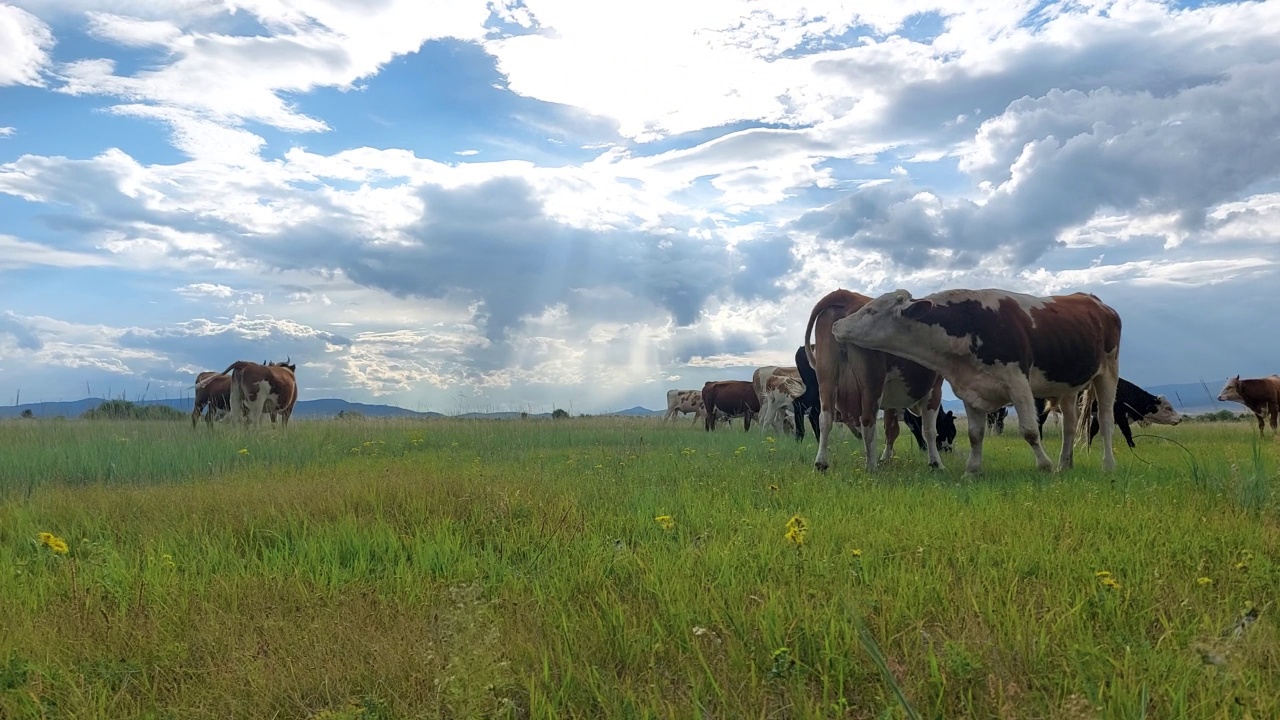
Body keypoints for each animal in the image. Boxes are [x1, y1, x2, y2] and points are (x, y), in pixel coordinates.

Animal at [803, 285, 947, 471]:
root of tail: (846, 295)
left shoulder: (892, 401)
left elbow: (891, 428)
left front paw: (886, 458)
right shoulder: (935, 389)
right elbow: (929, 429)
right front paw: (936, 463)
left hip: (826, 375)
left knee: (825, 419)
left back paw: (821, 463)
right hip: (872, 381)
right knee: (867, 420)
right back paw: (871, 466)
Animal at [829, 288, 1121, 474]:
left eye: (871, 310)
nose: (836, 326)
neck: (971, 325)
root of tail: (1096, 301)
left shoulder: (1019, 384)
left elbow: (1029, 430)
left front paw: (1045, 466)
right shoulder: (970, 389)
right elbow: (975, 434)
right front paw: (972, 470)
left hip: (1108, 372)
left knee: (1106, 420)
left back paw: (1107, 465)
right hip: (1068, 386)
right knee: (1070, 426)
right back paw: (1065, 464)